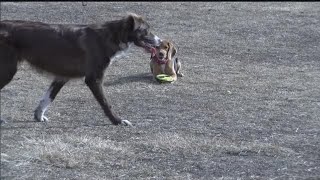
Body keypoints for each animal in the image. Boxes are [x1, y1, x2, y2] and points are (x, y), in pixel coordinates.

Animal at [0, 13, 160, 126]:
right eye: (146, 31)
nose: (159, 42)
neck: (111, 35)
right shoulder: (93, 78)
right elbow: (105, 103)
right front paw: (117, 121)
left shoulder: (62, 76)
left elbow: (48, 98)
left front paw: (38, 116)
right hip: (8, 71)